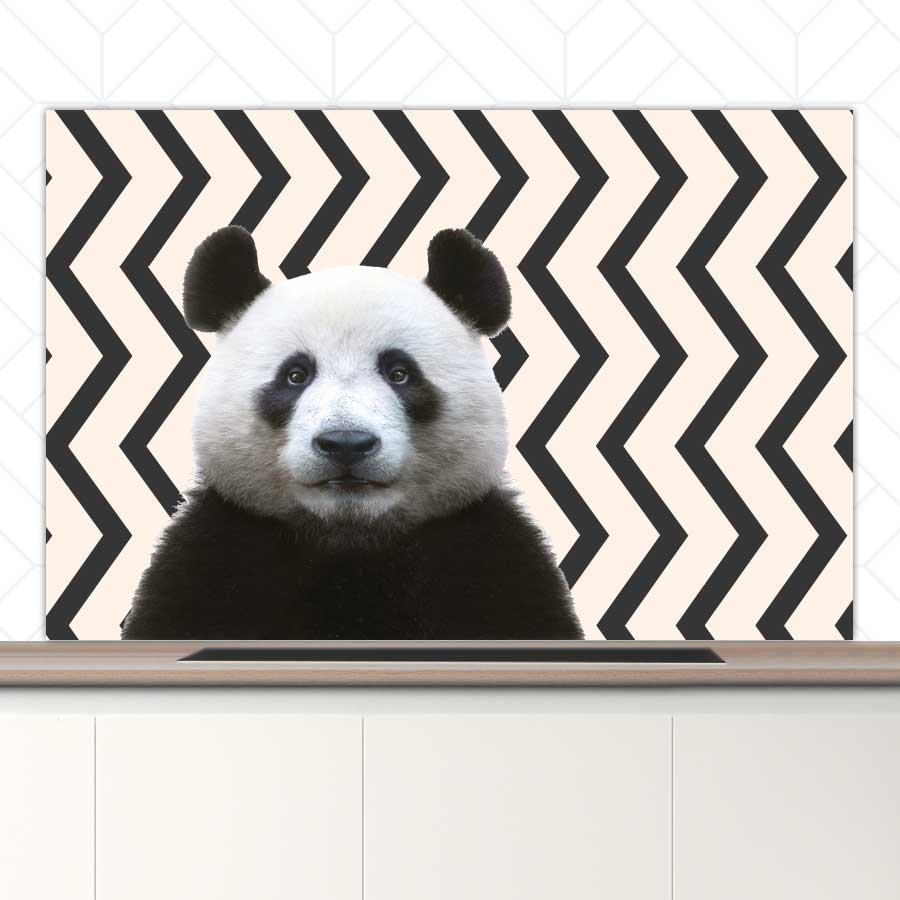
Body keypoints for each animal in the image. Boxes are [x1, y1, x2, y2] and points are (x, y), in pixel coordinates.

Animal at [122, 225, 583, 640]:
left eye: (400, 373)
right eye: (295, 375)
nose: (346, 443)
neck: (350, 542)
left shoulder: (487, 557)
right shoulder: (216, 555)